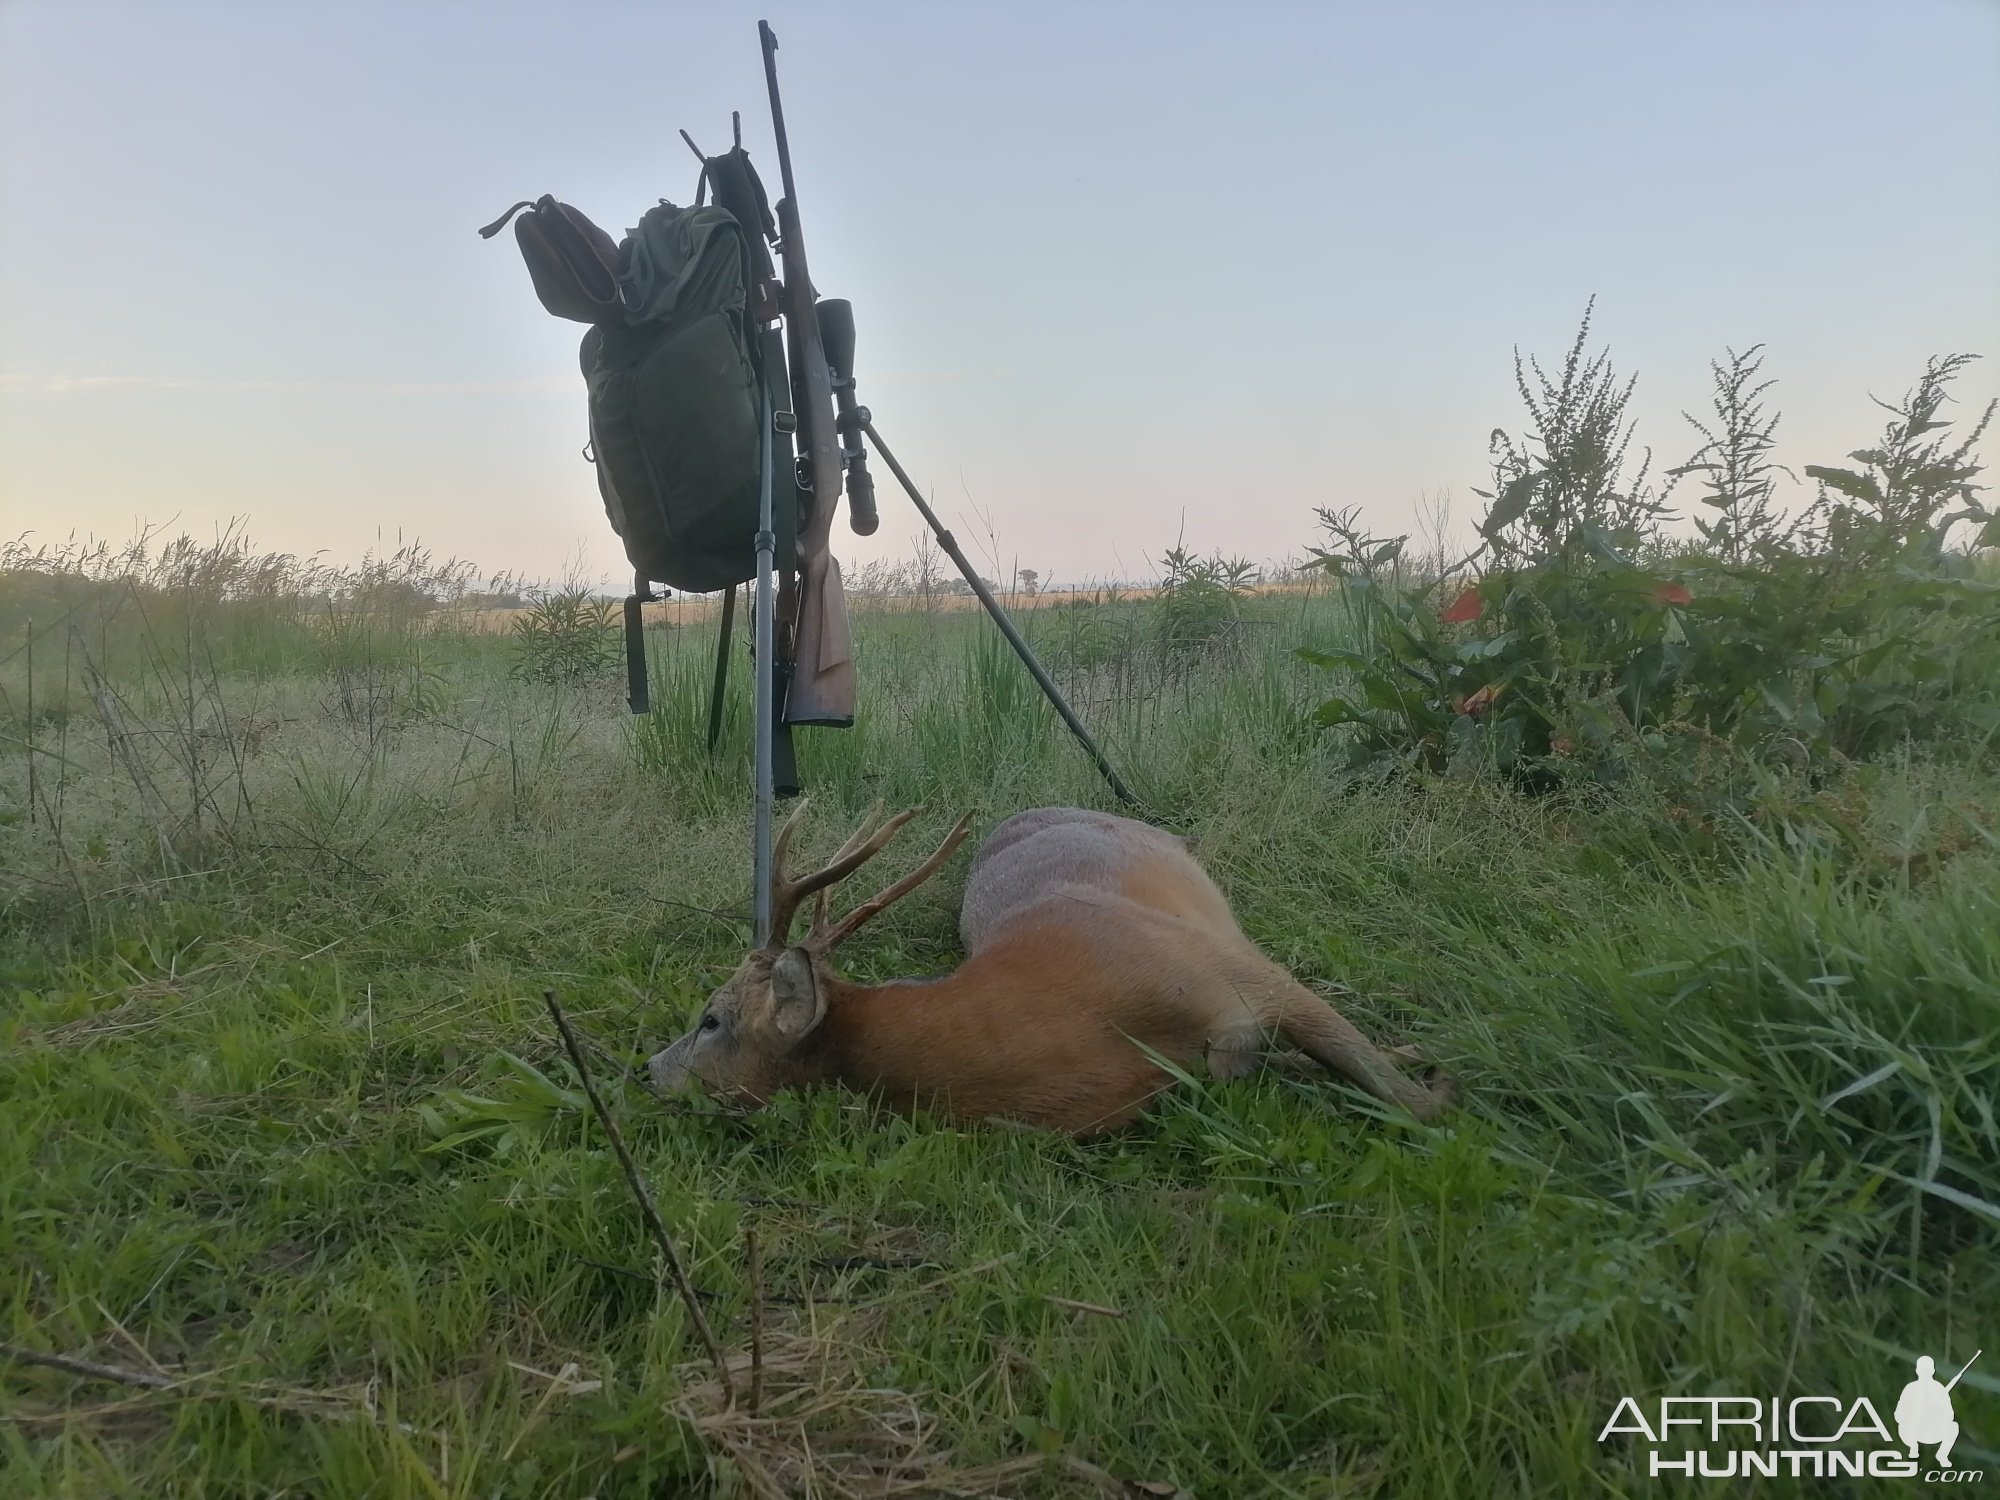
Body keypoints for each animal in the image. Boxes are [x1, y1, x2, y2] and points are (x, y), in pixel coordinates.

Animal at [656, 804, 1456, 1136]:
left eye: (711, 1019)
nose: (647, 1069)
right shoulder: (1223, 1062)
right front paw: (1415, 1056)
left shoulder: (1243, 970)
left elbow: (1413, 1104)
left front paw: (1433, 1071)